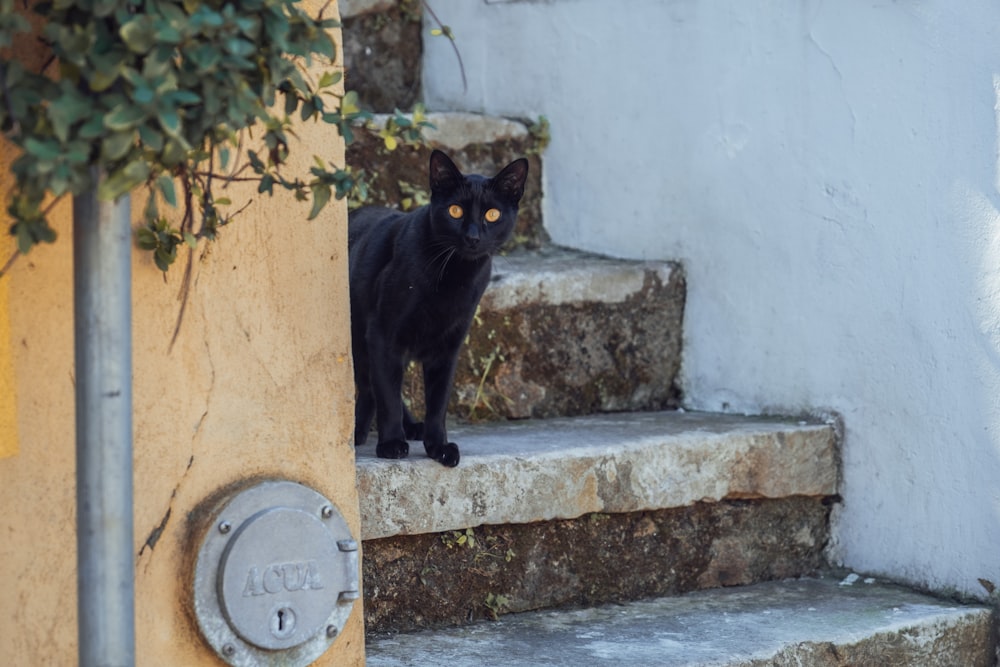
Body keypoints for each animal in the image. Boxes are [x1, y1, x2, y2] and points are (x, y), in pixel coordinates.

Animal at [348, 149, 528, 468]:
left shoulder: (447, 348)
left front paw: (438, 447)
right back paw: (360, 431)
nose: (473, 237)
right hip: (357, 335)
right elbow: (386, 395)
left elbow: (438, 401)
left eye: (492, 215)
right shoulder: (383, 334)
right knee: (371, 385)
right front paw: (391, 443)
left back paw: (411, 427)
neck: (453, 278)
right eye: (455, 211)